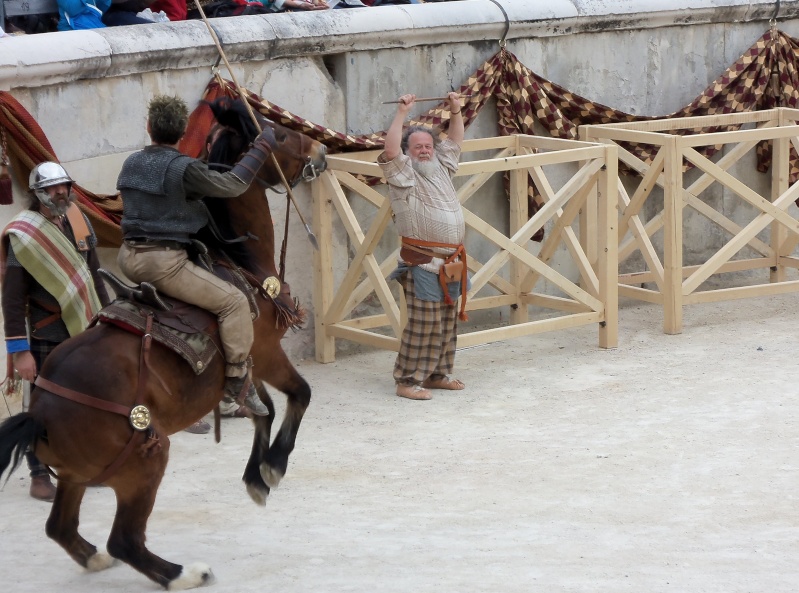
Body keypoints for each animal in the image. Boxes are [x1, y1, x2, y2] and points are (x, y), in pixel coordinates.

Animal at [0, 97, 328, 588]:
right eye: (282, 134)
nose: (321, 151)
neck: (240, 265)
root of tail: (39, 412)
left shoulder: (245, 367)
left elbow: (262, 410)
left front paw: (257, 477)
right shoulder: (264, 351)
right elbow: (297, 395)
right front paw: (274, 466)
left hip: (78, 476)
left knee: (62, 528)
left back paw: (96, 559)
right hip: (146, 458)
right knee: (125, 540)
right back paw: (184, 573)